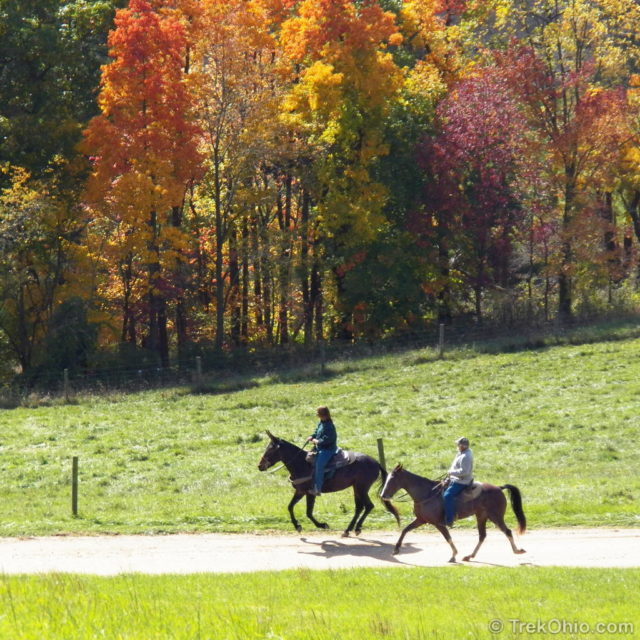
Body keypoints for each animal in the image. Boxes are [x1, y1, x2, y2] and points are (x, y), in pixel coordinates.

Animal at [256, 432, 400, 536]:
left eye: (270, 449)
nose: (260, 466)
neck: (302, 463)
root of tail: (376, 463)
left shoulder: (310, 493)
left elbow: (308, 512)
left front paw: (322, 525)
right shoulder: (300, 491)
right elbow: (290, 507)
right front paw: (297, 526)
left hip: (362, 488)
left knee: (368, 506)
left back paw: (356, 528)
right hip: (356, 488)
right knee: (359, 507)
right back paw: (348, 529)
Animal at [380, 464, 524, 560]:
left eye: (392, 479)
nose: (383, 495)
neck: (427, 493)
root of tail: (499, 488)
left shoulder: (438, 523)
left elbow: (447, 537)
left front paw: (454, 555)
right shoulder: (421, 520)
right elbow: (405, 530)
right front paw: (396, 549)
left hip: (495, 516)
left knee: (507, 531)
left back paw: (517, 550)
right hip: (481, 516)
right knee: (482, 536)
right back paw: (470, 556)